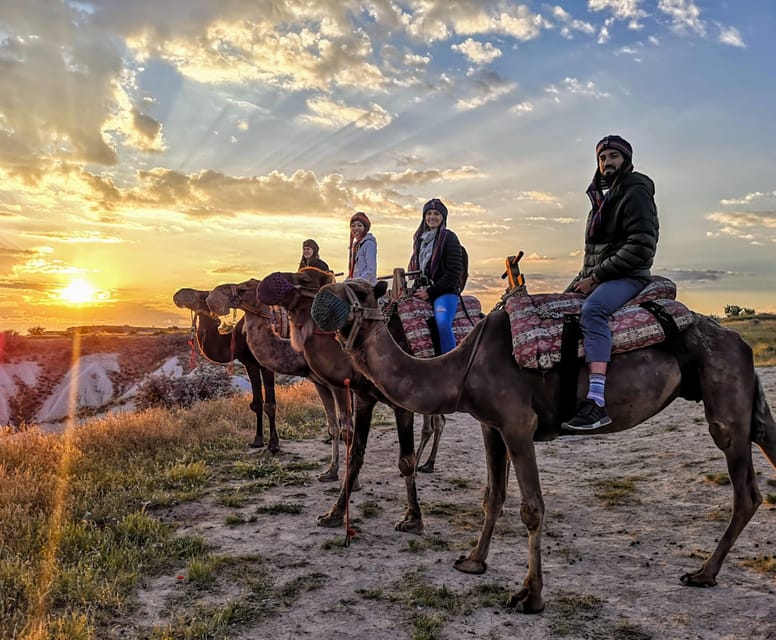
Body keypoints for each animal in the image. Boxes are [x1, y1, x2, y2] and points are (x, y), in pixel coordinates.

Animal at [174, 288, 348, 482]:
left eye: (202, 295)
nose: (180, 294)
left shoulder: (266, 365)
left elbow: (270, 404)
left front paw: (273, 444)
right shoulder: (249, 362)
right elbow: (256, 403)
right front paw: (257, 440)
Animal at [310, 278, 776, 616]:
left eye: (362, 291)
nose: (322, 298)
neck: (460, 367)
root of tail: (741, 342)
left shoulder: (518, 425)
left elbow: (531, 508)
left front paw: (529, 596)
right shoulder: (491, 425)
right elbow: (492, 496)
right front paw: (473, 561)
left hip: (725, 402)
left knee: (745, 490)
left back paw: (702, 573)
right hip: (742, 399)